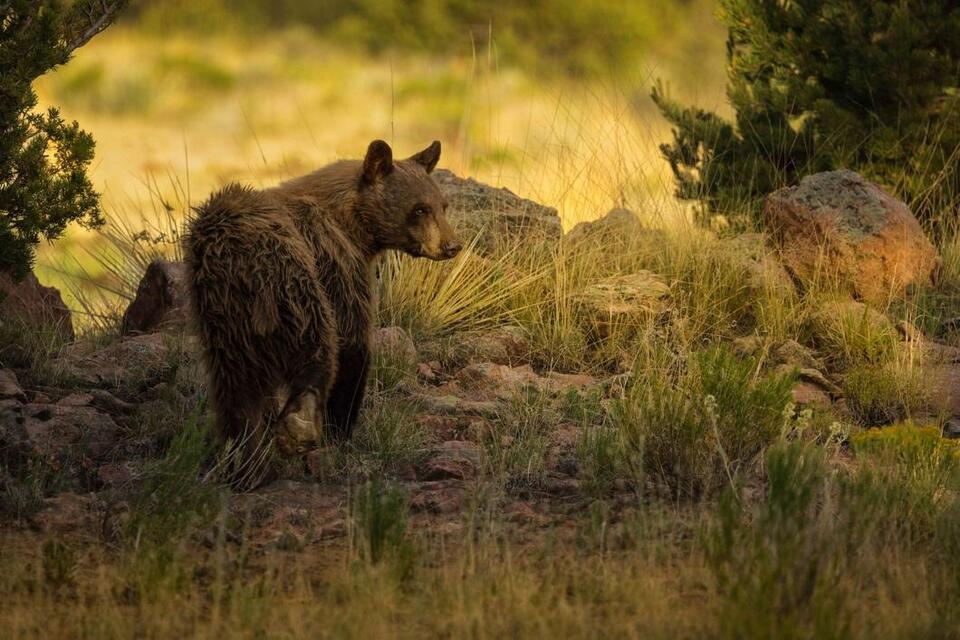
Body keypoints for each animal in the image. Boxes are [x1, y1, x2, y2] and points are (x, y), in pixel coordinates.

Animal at [184, 140, 461, 486]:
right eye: (419, 208)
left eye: (443, 205)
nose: (451, 245)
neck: (354, 225)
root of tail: (241, 261)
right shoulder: (338, 261)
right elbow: (353, 341)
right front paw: (340, 429)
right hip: (294, 283)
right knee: (315, 343)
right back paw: (299, 425)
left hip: (222, 322)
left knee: (233, 389)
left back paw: (246, 466)